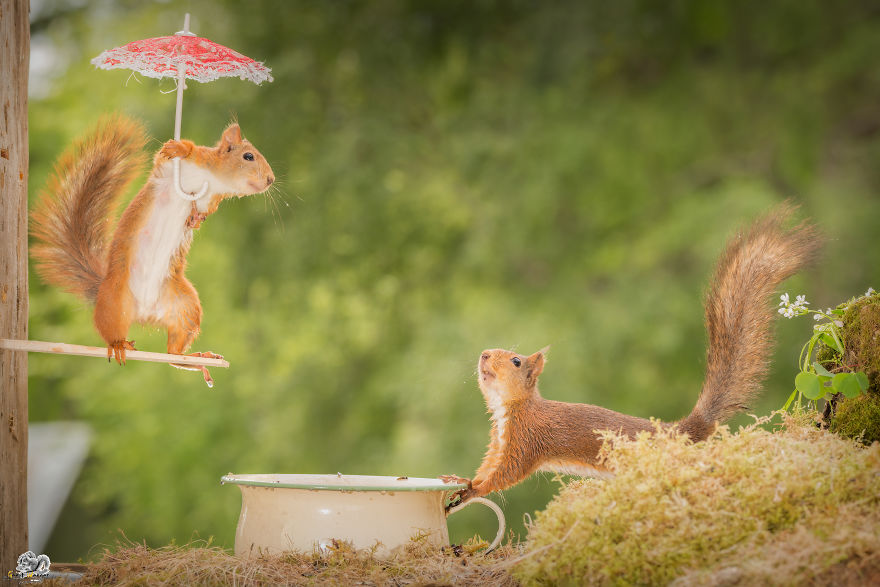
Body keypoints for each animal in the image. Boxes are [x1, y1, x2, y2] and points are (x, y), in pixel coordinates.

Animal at [31, 114, 275, 386]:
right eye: (248, 156)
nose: (271, 180)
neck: (212, 179)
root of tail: (145, 312)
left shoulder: (210, 200)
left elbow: (202, 212)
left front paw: (194, 220)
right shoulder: (171, 169)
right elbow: (174, 154)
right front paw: (178, 147)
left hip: (186, 307)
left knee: (172, 354)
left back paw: (200, 358)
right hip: (114, 300)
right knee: (111, 331)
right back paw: (118, 344)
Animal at [442, 205, 820, 506]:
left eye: (517, 361)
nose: (484, 355)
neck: (510, 408)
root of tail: (676, 432)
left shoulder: (526, 441)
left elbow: (506, 473)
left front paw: (474, 491)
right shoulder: (499, 441)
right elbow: (487, 466)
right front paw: (462, 480)